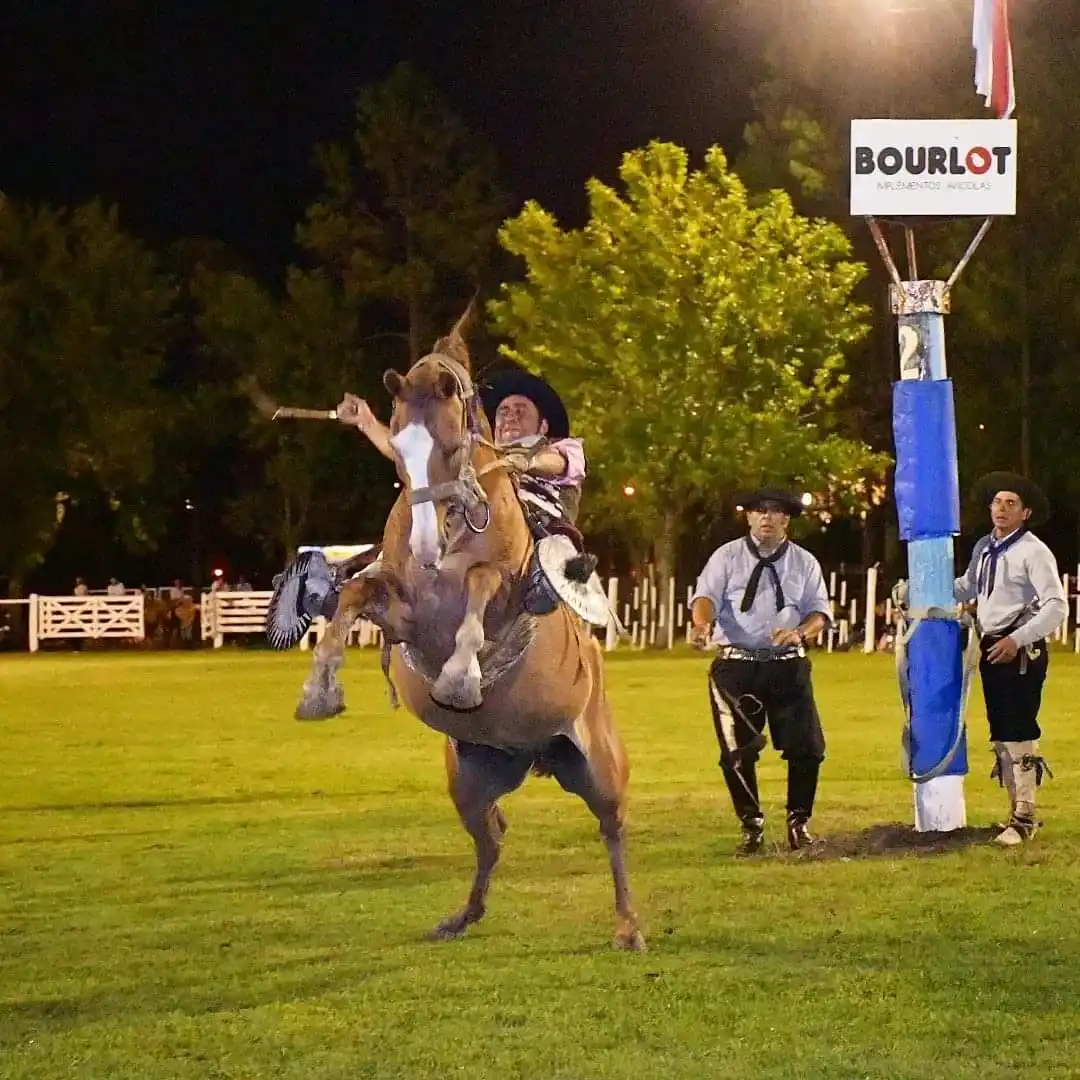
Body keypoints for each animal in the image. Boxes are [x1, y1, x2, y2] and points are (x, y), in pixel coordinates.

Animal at [294, 307, 645, 951]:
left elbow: (483, 587)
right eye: (398, 448)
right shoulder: (404, 615)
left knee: (612, 830)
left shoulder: (493, 594)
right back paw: (462, 916)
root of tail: (535, 756)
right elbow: (354, 594)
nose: (427, 546)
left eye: (454, 442)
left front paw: (460, 679)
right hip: (468, 782)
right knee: (492, 838)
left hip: (603, 768)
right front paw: (319, 692)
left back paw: (628, 926)